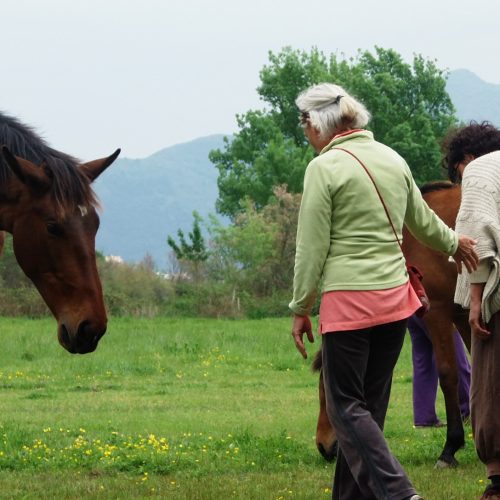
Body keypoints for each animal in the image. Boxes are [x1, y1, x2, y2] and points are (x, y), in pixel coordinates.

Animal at [314, 183, 470, 468]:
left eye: (324, 391)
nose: (323, 446)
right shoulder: (462, 315)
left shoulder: (438, 313)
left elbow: (448, 374)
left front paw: (450, 447)